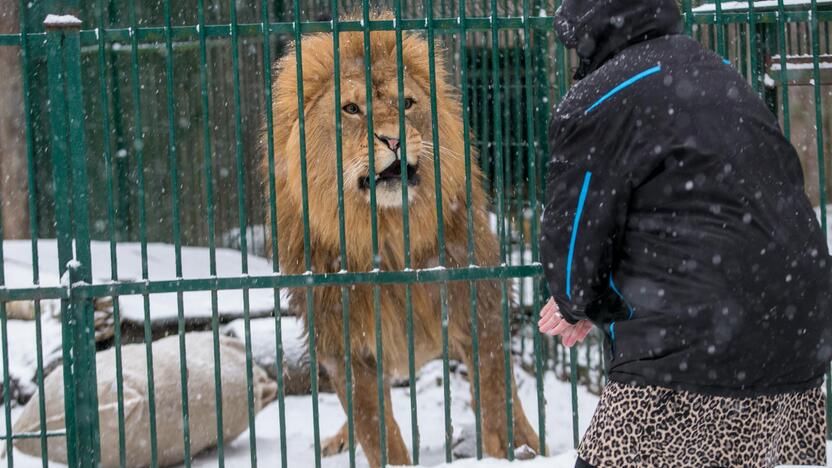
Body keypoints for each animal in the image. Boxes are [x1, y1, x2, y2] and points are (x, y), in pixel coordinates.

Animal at [264, 19, 544, 468]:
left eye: (408, 103)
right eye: (351, 109)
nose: (393, 140)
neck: (388, 237)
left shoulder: (478, 307)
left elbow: (496, 396)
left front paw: (516, 451)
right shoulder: (344, 345)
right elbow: (376, 430)